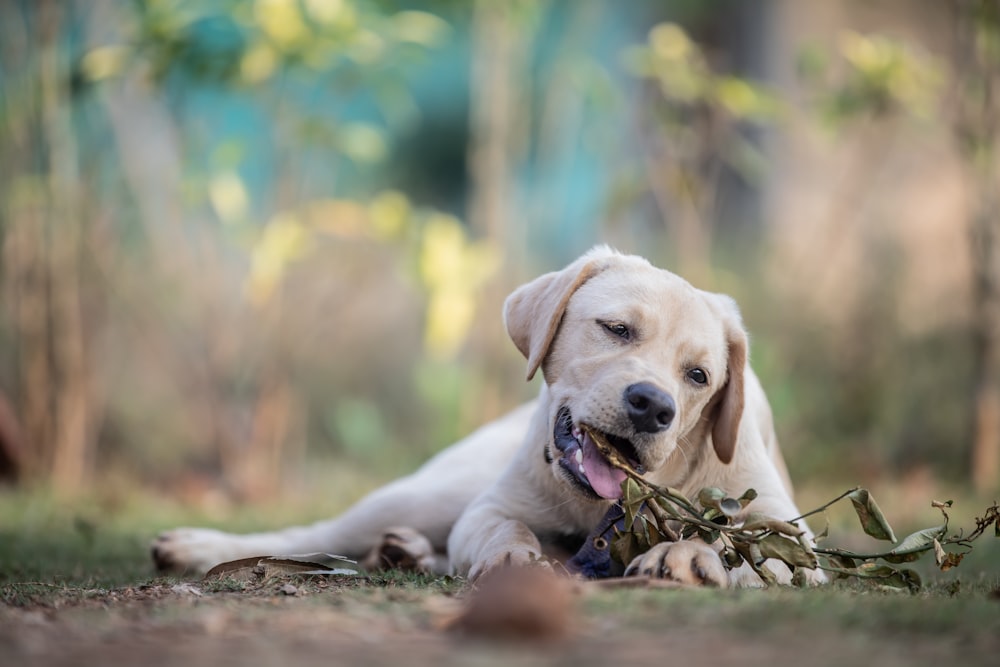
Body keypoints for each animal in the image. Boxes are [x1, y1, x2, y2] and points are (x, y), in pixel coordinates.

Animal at [152, 248, 824, 588]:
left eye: (699, 377)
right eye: (616, 329)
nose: (653, 406)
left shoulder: (790, 537)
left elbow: (736, 540)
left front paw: (687, 555)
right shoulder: (493, 505)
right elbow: (504, 529)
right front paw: (512, 560)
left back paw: (406, 554)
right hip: (429, 493)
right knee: (315, 534)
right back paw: (198, 547)